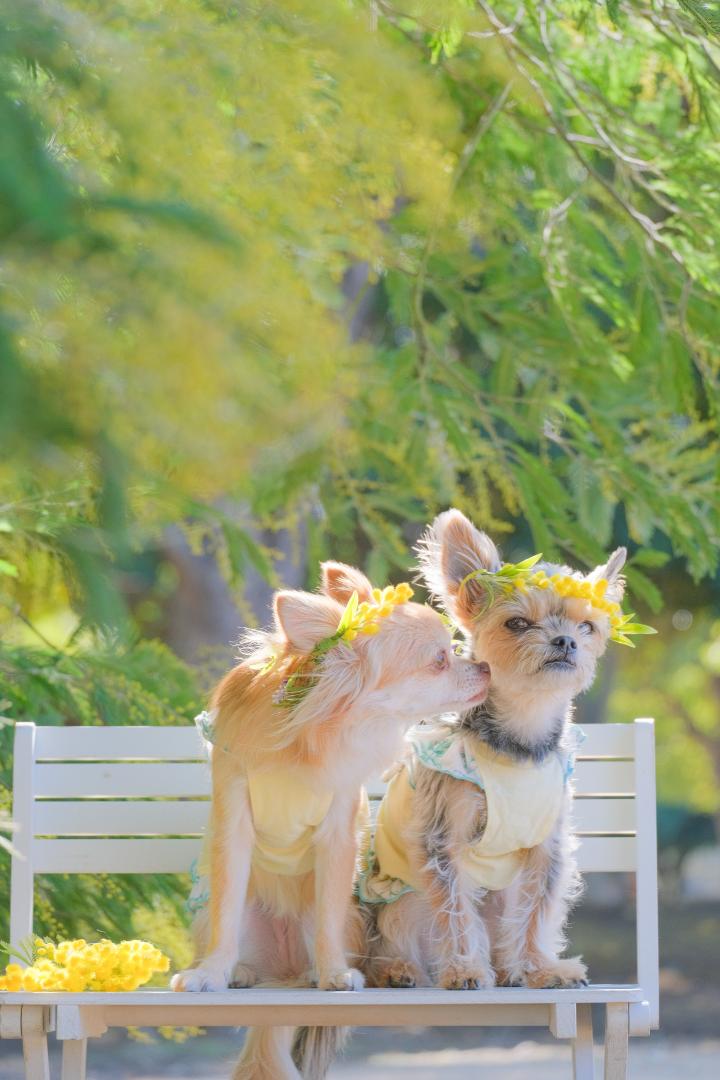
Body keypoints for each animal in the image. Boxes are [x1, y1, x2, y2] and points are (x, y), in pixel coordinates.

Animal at [171, 561, 492, 1080]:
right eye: (440, 660)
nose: (484, 665)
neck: (312, 733)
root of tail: (282, 974)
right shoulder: (232, 820)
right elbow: (225, 909)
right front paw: (211, 973)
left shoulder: (339, 831)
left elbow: (326, 918)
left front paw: (335, 973)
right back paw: (239, 971)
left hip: (347, 917)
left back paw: (320, 971)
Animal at [362, 511, 626, 993]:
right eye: (517, 624)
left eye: (587, 627)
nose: (565, 641)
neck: (518, 741)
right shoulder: (444, 841)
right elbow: (456, 912)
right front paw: (465, 969)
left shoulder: (546, 847)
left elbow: (536, 912)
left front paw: (542, 968)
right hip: (399, 902)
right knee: (390, 941)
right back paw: (399, 969)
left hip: (500, 896)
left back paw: (510, 969)